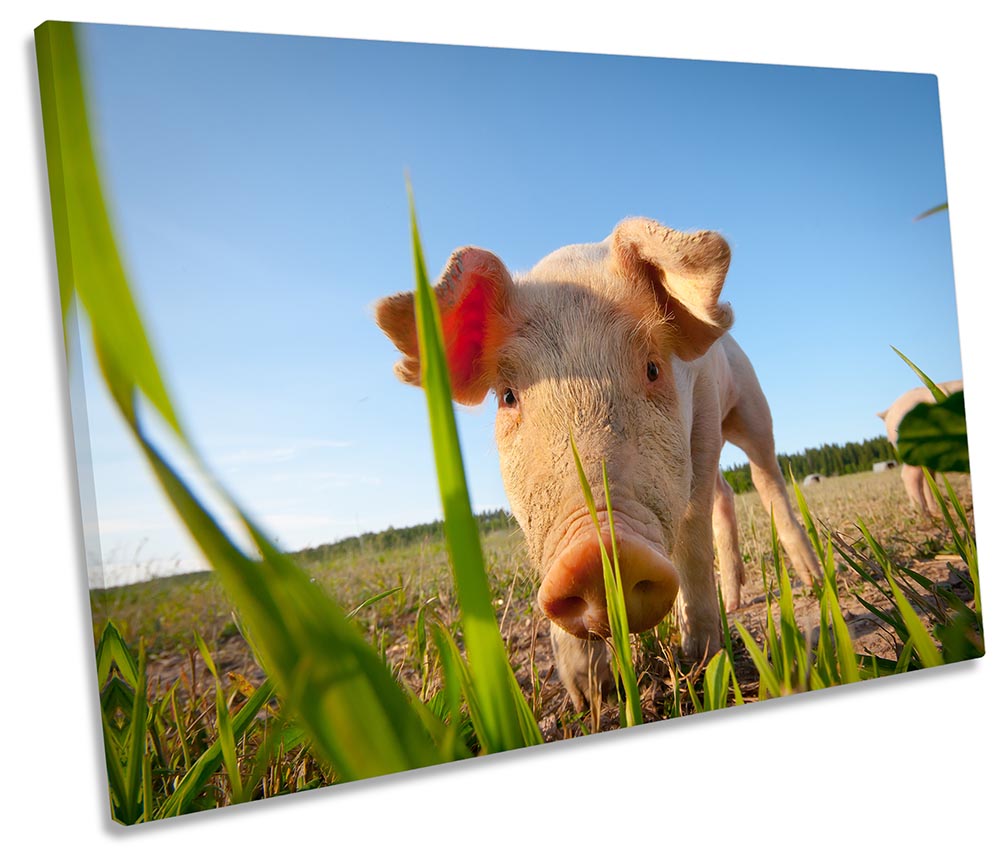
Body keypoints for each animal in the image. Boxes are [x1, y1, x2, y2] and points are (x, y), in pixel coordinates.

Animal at [376, 219, 820, 708]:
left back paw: (813, 580)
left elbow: (692, 533)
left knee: (765, 476)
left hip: (751, 407)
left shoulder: (703, 411)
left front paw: (703, 660)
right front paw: (592, 697)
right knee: (726, 492)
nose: (596, 553)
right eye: (508, 397)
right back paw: (738, 602)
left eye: (652, 368)